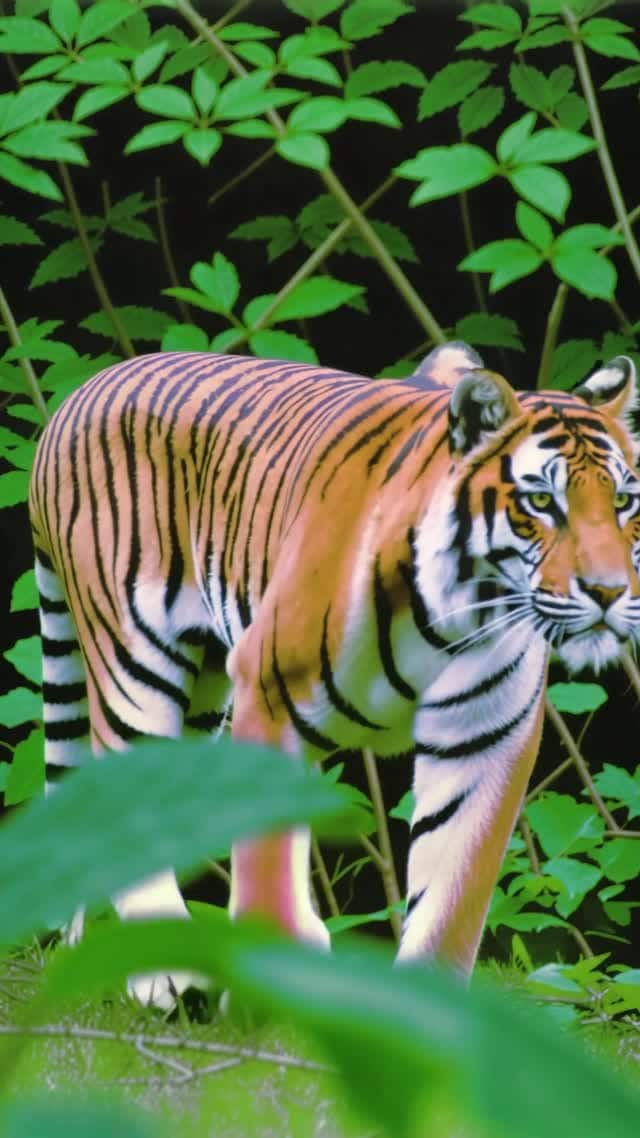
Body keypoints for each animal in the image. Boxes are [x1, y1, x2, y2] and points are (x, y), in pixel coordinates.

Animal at [28, 341, 640, 1009]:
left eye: (624, 502)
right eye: (541, 503)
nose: (610, 592)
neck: (457, 610)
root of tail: (80, 393)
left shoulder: (485, 735)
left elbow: (454, 893)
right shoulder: (268, 691)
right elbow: (268, 870)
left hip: (201, 696)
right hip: (133, 656)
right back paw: (164, 977)